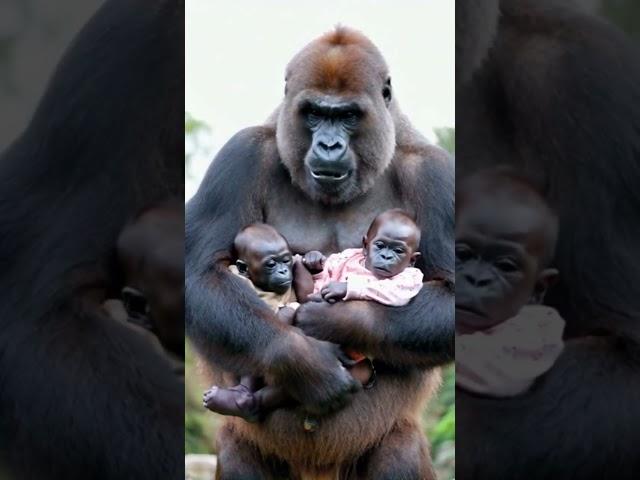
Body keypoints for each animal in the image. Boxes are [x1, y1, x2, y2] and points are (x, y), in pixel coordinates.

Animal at [185, 27, 456, 480]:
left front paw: (341, 321)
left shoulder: (435, 172)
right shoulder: (242, 153)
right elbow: (198, 273)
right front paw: (306, 363)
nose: (329, 145)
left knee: (397, 448)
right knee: (239, 448)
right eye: (313, 113)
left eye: (348, 116)